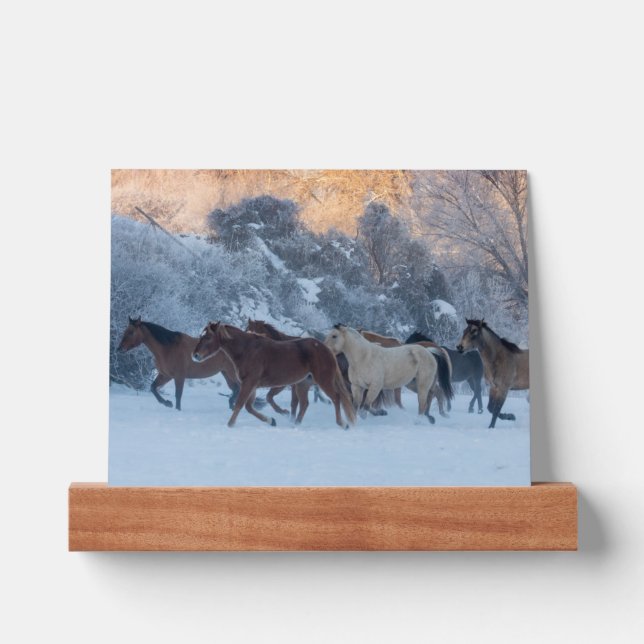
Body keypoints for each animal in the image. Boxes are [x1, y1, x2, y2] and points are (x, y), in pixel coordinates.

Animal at [193, 322, 356, 429]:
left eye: (208, 337)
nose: (195, 355)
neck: (247, 350)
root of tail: (326, 349)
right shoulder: (252, 385)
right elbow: (249, 407)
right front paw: (271, 420)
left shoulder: (249, 383)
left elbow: (240, 404)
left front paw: (230, 424)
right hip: (302, 384)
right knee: (305, 404)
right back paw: (295, 424)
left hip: (323, 380)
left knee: (336, 398)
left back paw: (342, 424)